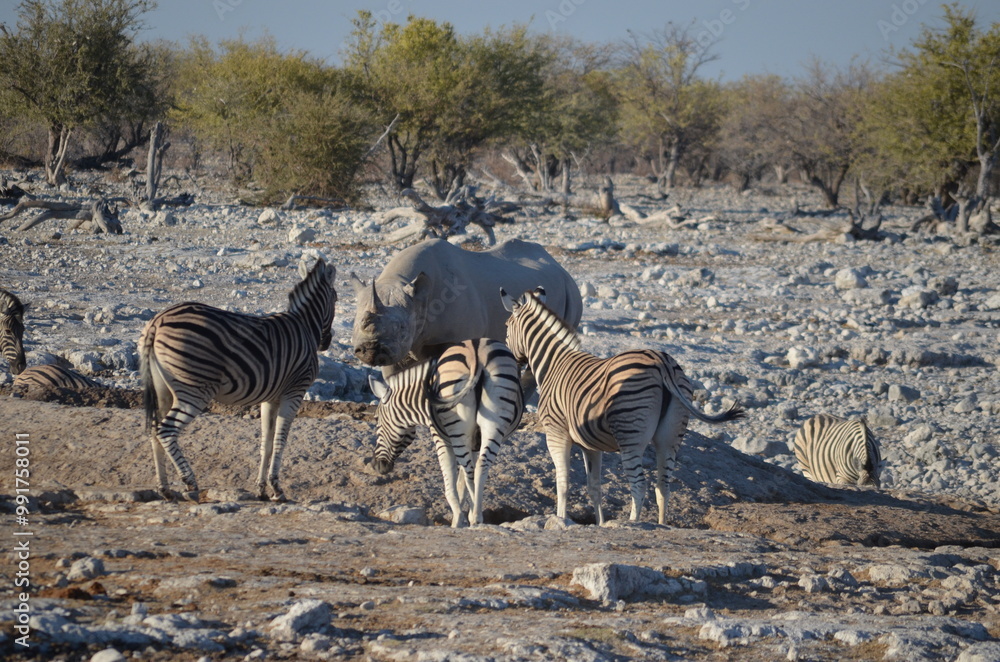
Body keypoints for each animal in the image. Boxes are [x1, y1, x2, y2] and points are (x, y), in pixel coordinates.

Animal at [140, 258, 337, 501]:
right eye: (336, 299)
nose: (326, 342)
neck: (305, 325)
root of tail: (157, 322)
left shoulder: (270, 398)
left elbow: (266, 443)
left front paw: (261, 489)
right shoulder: (295, 392)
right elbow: (280, 441)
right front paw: (276, 488)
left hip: (162, 389)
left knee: (154, 431)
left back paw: (165, 489)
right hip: (194, 390)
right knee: (166, 431)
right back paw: (190, 483)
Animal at [352, 238, 582, 373]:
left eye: (401, 328)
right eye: (356, 324)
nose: (371, 350)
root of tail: (559, 265)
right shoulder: (399, 347)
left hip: (571, 291)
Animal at [369, 338, 524, 527]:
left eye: (376, 419)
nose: (376, 465)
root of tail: (477, 351)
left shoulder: (440, 438)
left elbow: (451, 487)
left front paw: (457, 521)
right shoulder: (474, 443)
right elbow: (462, 483)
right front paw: (463, 517)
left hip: (457, 424)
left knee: (470, 470)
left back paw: (474, 517)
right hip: (494, 421)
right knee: (480, 467)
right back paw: (477, 516)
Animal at [500, 286, 745, 525]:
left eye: (506, 327)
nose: (509, 357)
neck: (554, 363)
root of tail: (661, 362)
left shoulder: (556, 433)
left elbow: (563, 484)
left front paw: (561, 518)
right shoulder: (590, 445)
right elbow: (594, 487)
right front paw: (600, 524)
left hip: (630, 435)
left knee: (639, 486)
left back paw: (632, 523)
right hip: (670, 436)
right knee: (663, 486)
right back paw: (661, 524)